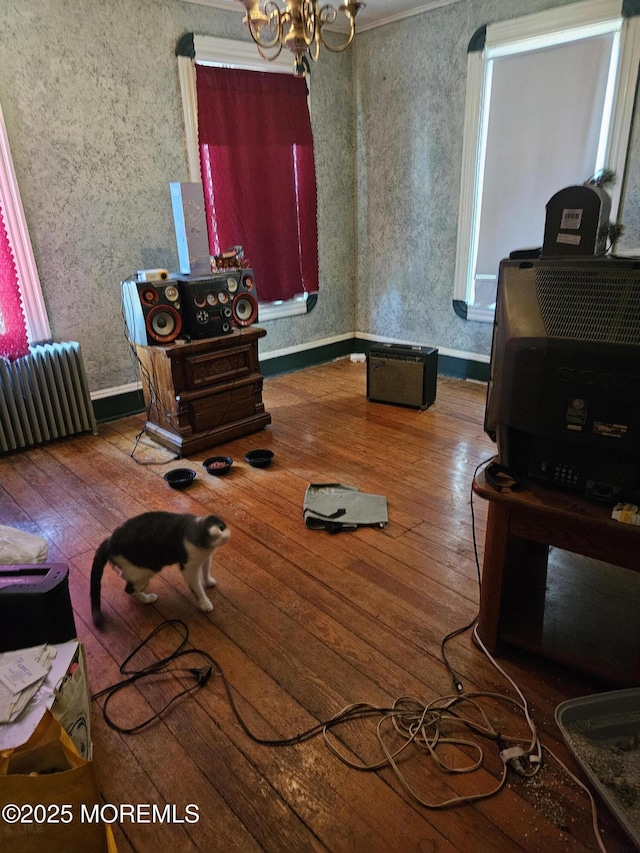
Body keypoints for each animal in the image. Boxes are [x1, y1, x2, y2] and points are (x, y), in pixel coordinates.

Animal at [90, 510, 230, 628]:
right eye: (219, 531)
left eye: (222, 527)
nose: (227, 536)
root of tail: (109, 542)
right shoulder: (189, 569)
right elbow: (197, 589)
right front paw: (205, 603)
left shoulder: (206, 557)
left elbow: (206, 570)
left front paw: (209, 581)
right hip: (147, 569)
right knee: (129, 589)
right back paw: (148, 599)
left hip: (133, 566)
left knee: (121, 572)